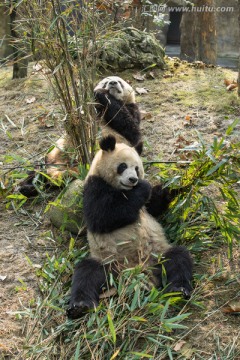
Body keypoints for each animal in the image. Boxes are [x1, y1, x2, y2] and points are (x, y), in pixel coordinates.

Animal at [67, 136, 193, 320]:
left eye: (137, 168)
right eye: (123, 166)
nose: (133, 180)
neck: (122, 189)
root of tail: (136, 271)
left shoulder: (147, 206)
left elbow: (154, 206)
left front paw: (171, 188)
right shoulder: (94, 186)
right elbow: (102, 216)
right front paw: (143, 187)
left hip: (158, 255)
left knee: (179, 259)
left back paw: (179, 290)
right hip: (108, 263)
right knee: (87, 273)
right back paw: (79, 306)